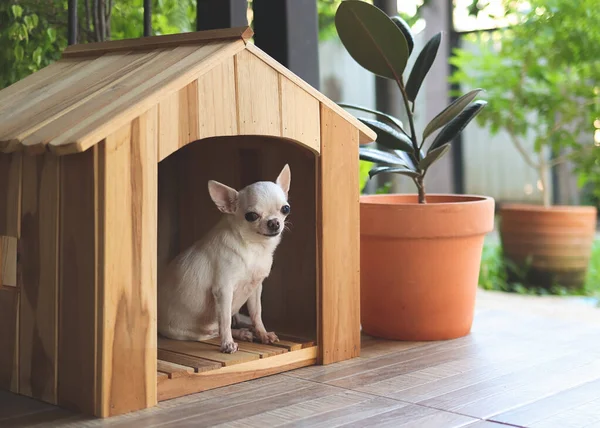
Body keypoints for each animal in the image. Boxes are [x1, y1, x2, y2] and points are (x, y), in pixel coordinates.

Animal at [158, 164, 292, 354]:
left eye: (285, 209)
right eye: (251, 216)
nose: (274, 222)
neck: (254, 247)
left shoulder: (255, 288)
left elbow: (256, 313)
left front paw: (263, 334)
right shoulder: (224, 290)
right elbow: (226, 320)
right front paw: (227, 343)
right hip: (192, 332)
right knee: (216, 329)